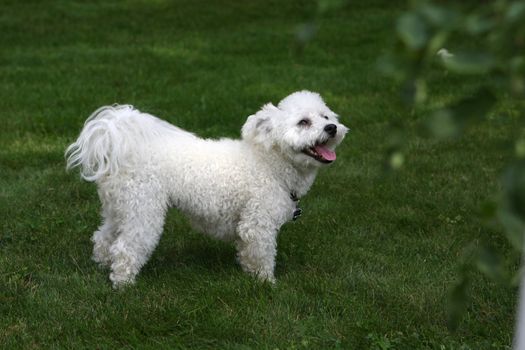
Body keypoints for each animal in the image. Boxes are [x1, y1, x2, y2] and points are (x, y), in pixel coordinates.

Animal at [65, 90, 346, 288]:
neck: (269, 164)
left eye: (326, 116)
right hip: (143, 211)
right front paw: (266, 283)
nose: (332, 128)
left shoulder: (247, 228)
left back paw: (102, 265)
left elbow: (247, 253)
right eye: (303, 122)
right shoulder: (258, 225)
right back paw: (123, 284)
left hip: (120, 208)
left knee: (103, 237)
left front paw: (249, 274)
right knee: (126, 248)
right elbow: (263, 255)